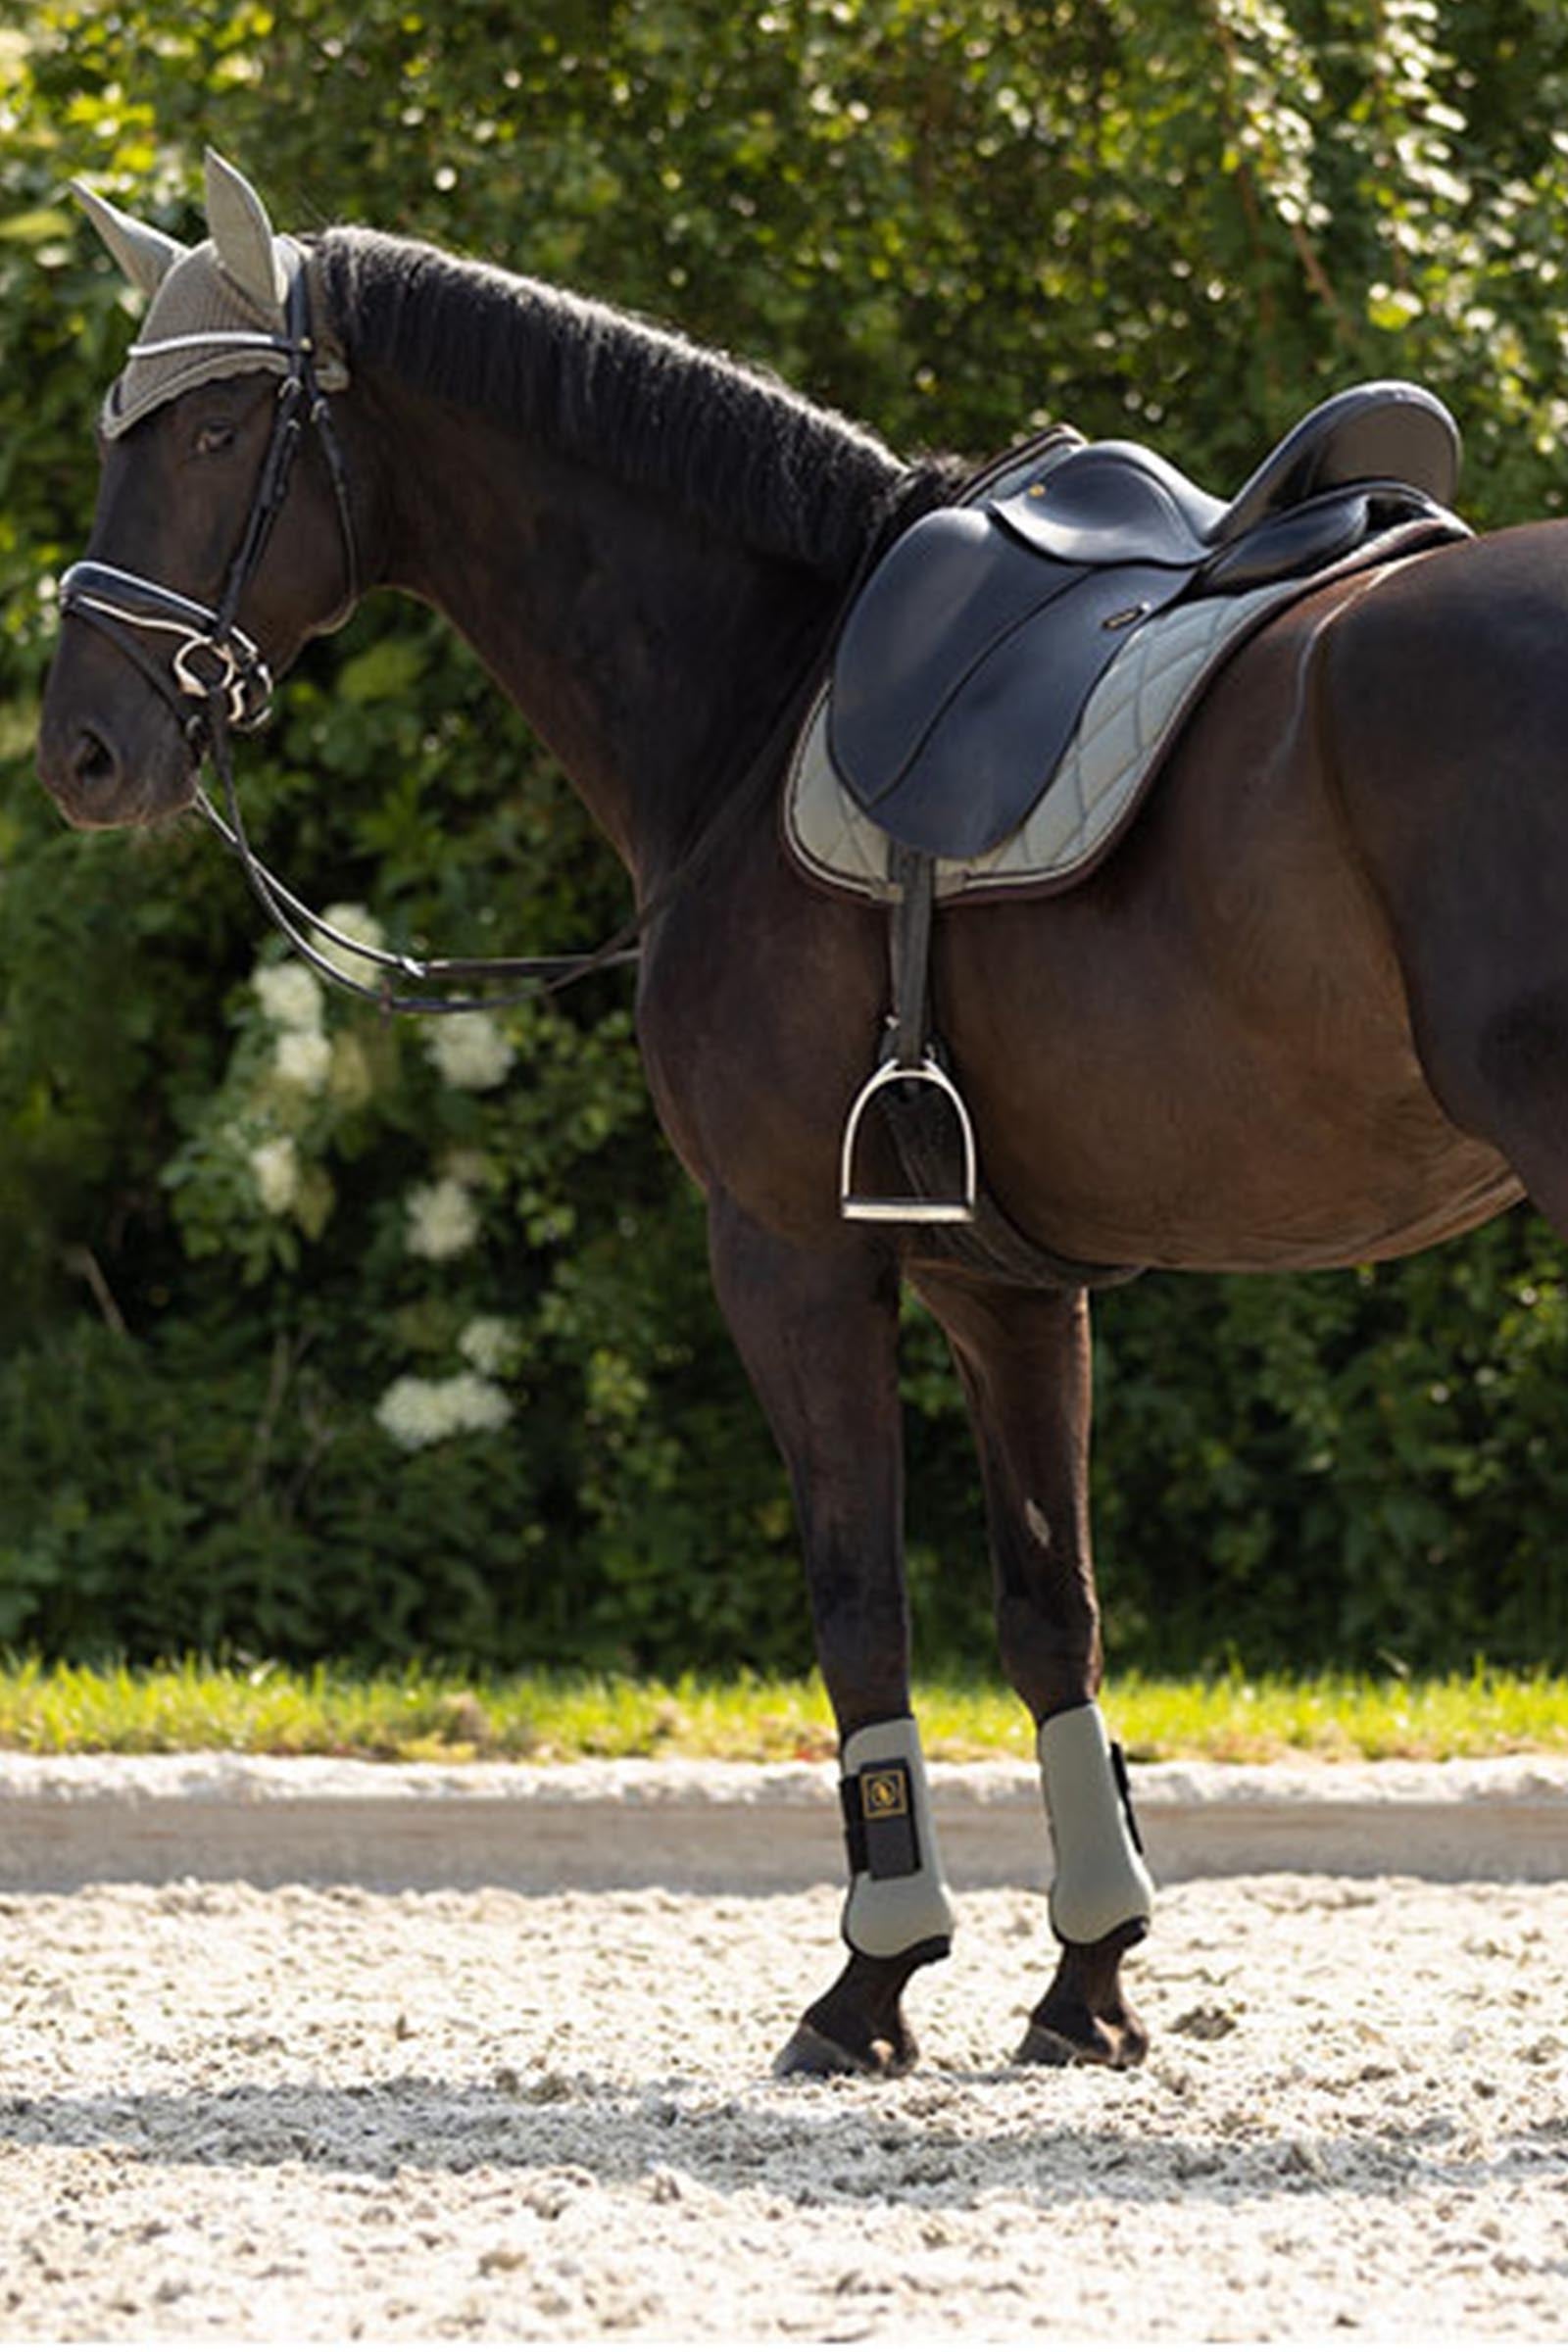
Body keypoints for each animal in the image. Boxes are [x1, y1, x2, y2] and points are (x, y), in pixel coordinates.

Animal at [36, 154, 1559, 2079]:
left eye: (223, 427)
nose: (83, 751)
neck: (767, 692)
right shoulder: (1003, 1280)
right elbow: (1049, 1613)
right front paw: (1088, 1980)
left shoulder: (786, 1250)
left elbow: (859, 1595)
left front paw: (872, 1979)